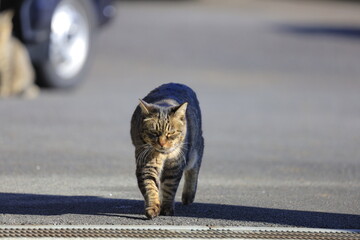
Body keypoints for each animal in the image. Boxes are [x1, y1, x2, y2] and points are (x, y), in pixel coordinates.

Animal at [131, 83, 204, 219]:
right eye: (154, 133)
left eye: (171, 133)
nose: (162, 143)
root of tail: (178, 83)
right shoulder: (147, 164)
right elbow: (150, 187)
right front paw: (153, 208)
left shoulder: (175, 165)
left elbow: (169, 188)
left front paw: (167, 208)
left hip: (193, 151)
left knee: (195, 166)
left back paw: (188, 195)